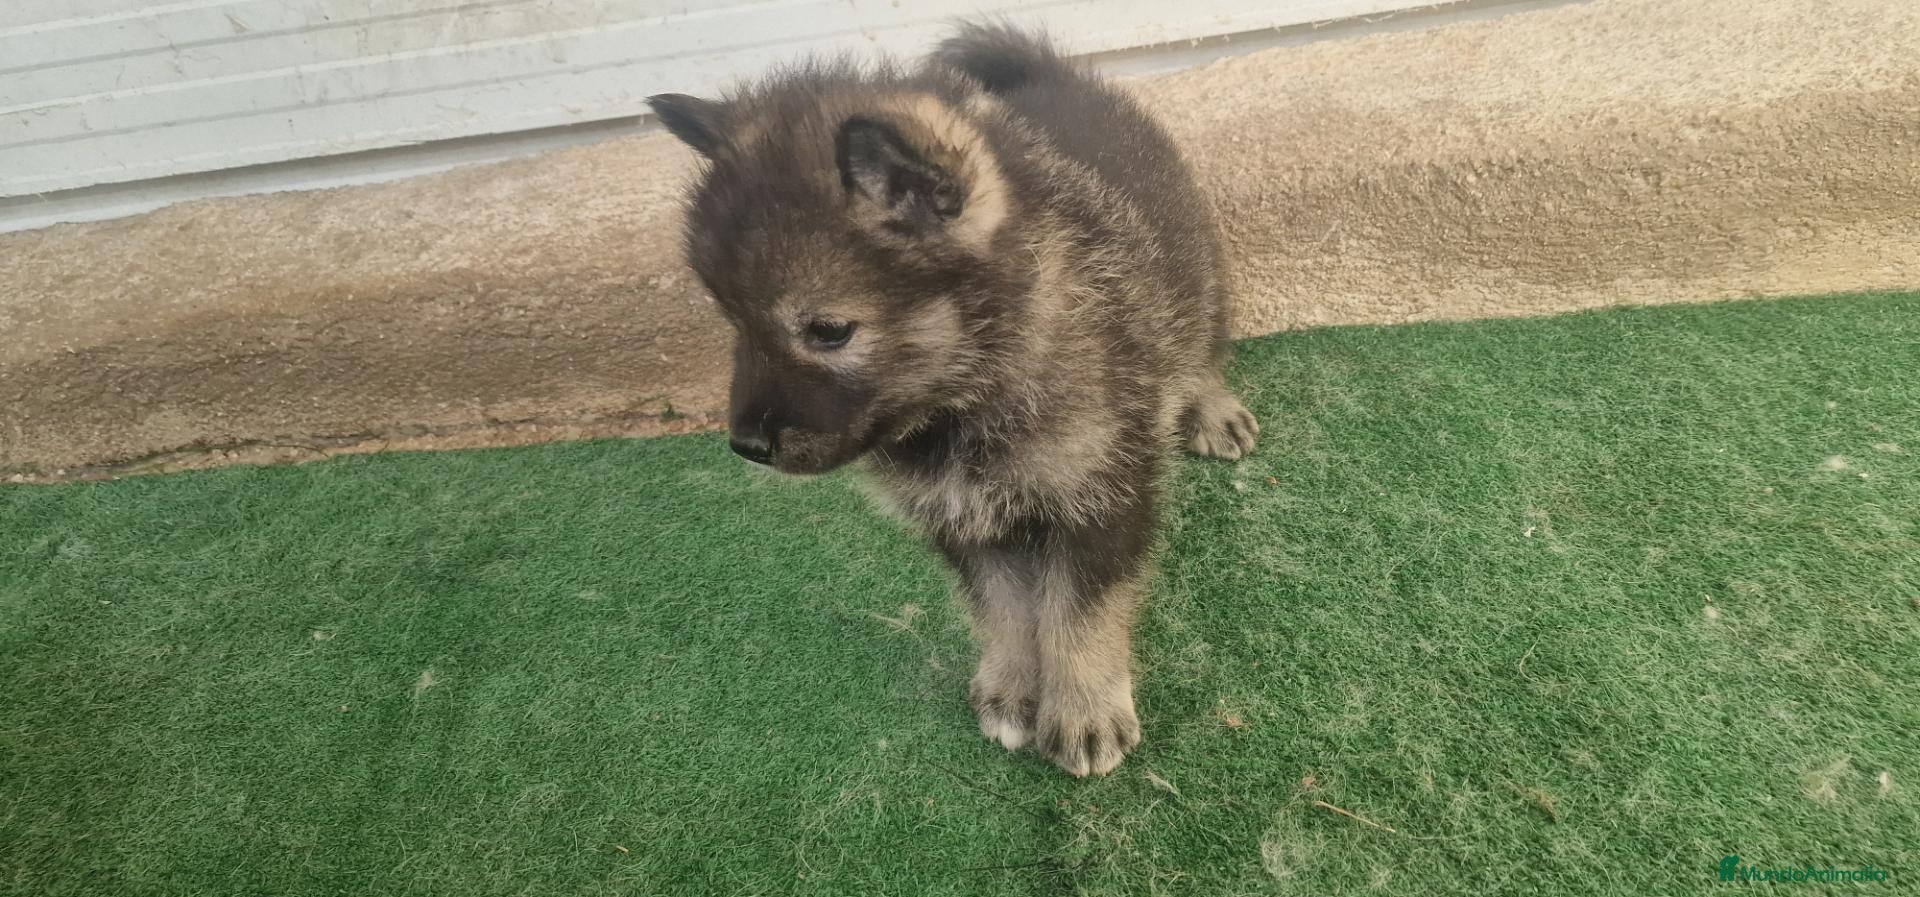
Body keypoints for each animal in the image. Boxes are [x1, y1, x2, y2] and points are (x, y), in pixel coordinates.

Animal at [649, 24, 1257, 776]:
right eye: (733, 321)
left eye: (828, 330)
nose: (746, 445)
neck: (970, 395)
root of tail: (1053, 74)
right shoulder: (961, 516)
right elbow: (1003, 610)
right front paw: (1012, 689)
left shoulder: (1102, 496)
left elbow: (1079, 612)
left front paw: (1083, 708)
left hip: (1198, 269)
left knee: (1200, 344)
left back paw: (1210, 406)